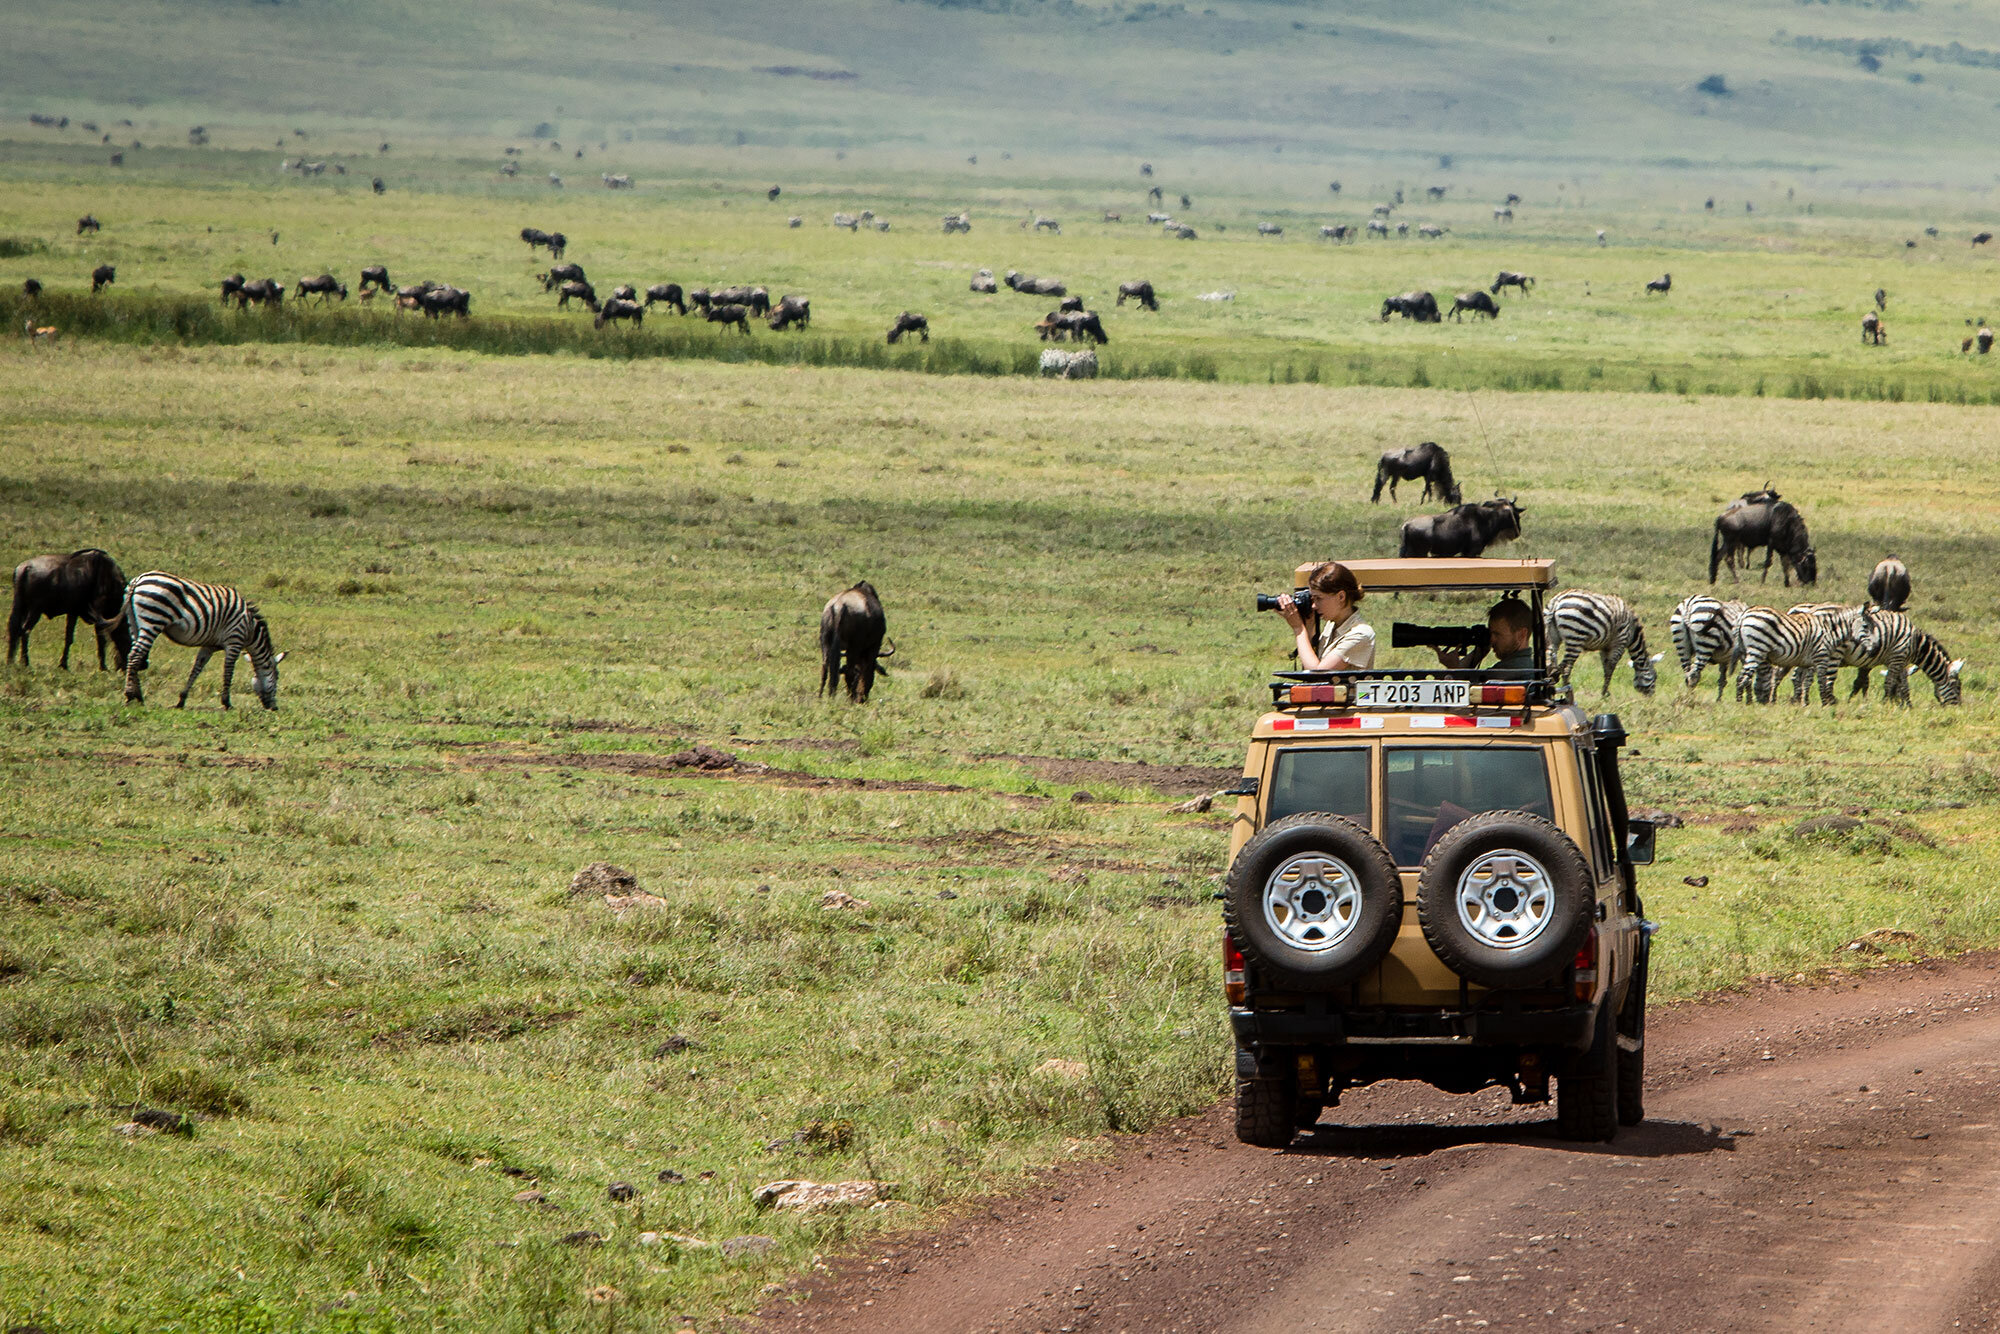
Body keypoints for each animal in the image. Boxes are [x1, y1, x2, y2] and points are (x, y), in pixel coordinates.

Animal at [117, 576, 288, 708]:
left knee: (135, 656)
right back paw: (130, 696)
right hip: (153, 620)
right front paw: (226, 702)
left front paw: (182, 700)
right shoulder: (234, 640)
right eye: (277, 677)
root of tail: (138, 580)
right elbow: (228, 671)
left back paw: (138, 697)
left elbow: (197, 668)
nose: (274, 708)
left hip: (135, 623)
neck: (250, 629)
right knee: (135, 656)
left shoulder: (209, 645)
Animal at [1536, 596, 1664, 700]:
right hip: (1576, 637)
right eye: (1655, 677)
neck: (1633, 633)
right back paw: (1568, 693)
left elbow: (1605, 667)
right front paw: (1604, 695)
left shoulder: (1605, 647)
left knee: (1550, 664)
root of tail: (1556, 602)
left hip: (1552, 636)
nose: (1651, 699)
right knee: (1565, 667)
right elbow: (1610, 668)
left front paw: (1605, 692)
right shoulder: (1619, 642)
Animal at [1736, 608, 1872, 708]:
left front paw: (1802, 703)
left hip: (1745, 652)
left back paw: (1745, 702)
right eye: (1865, 626)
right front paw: (1825, 703)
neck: (1830, 632)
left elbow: (1803, 682)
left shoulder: (1805, 663)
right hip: (1757, 649)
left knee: (1743, 678)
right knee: (1742, 678)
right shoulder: (1821, 657)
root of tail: (1744, 615)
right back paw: (1739, 704)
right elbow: (1821, 681)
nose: (1873, 649)